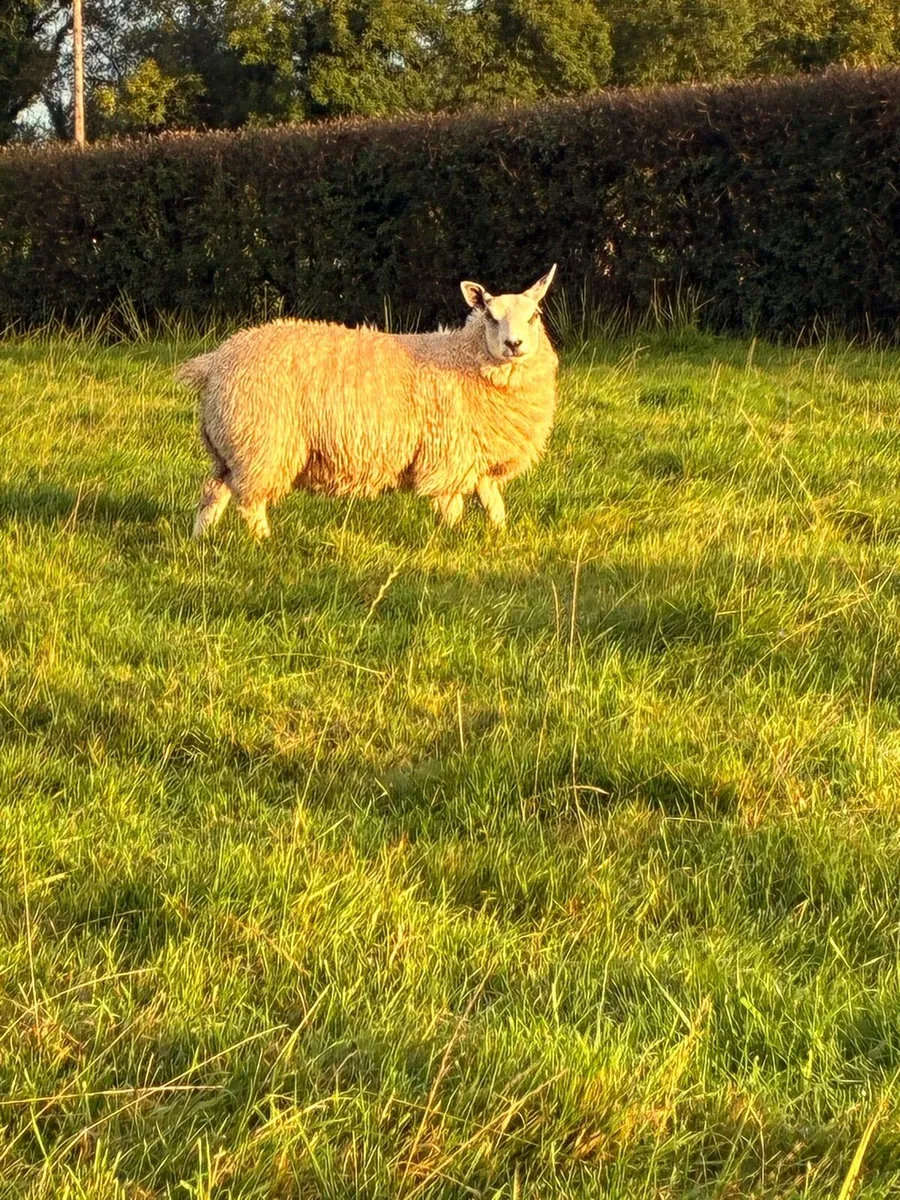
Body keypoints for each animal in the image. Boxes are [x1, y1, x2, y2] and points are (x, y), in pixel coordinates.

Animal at [176, 266, 559, 539]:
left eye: (535, 315)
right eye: (491, 317)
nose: (513, 344)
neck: (463, 357)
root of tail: (216, 360)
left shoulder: (478, 454)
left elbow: (493, 503)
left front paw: (499, 535)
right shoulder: (448, 455)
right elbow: (452, 507)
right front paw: (454, 539)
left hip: (229, 446)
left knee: (213, 491)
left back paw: (201, 539)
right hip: (262, 443)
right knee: (250, 501)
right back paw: (263, 541)